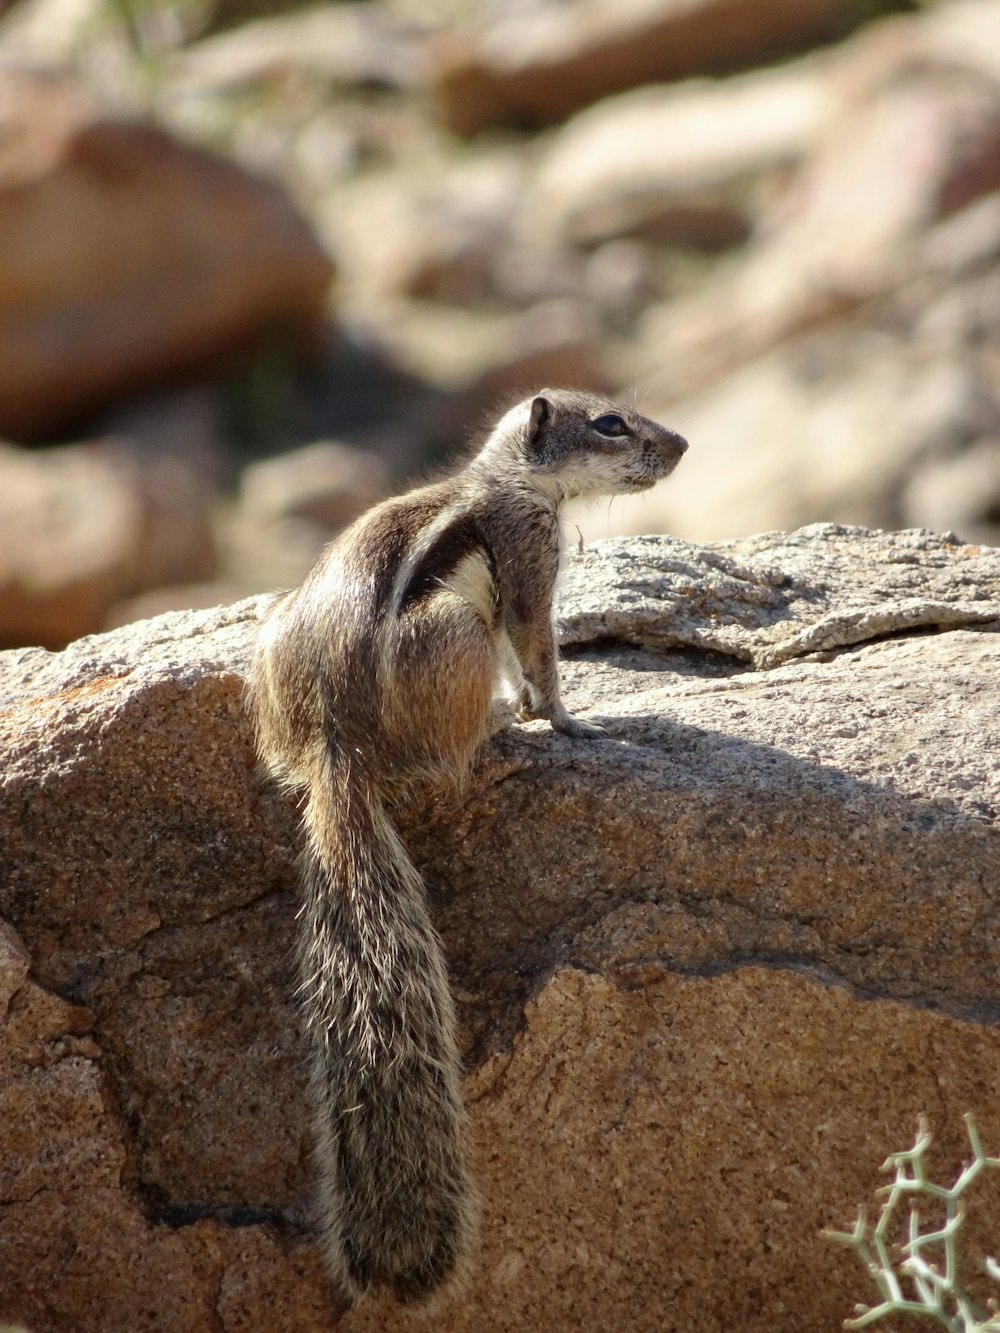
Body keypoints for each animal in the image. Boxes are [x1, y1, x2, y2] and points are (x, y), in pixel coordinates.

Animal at [250, 389, 688, 1306]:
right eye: (610, 424)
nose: (683, 444)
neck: (510, 479)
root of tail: (335, 745)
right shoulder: (528, 562)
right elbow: (539, 649)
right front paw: (563, 718)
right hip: (454, 634)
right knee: (448, 752)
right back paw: (492, 730)